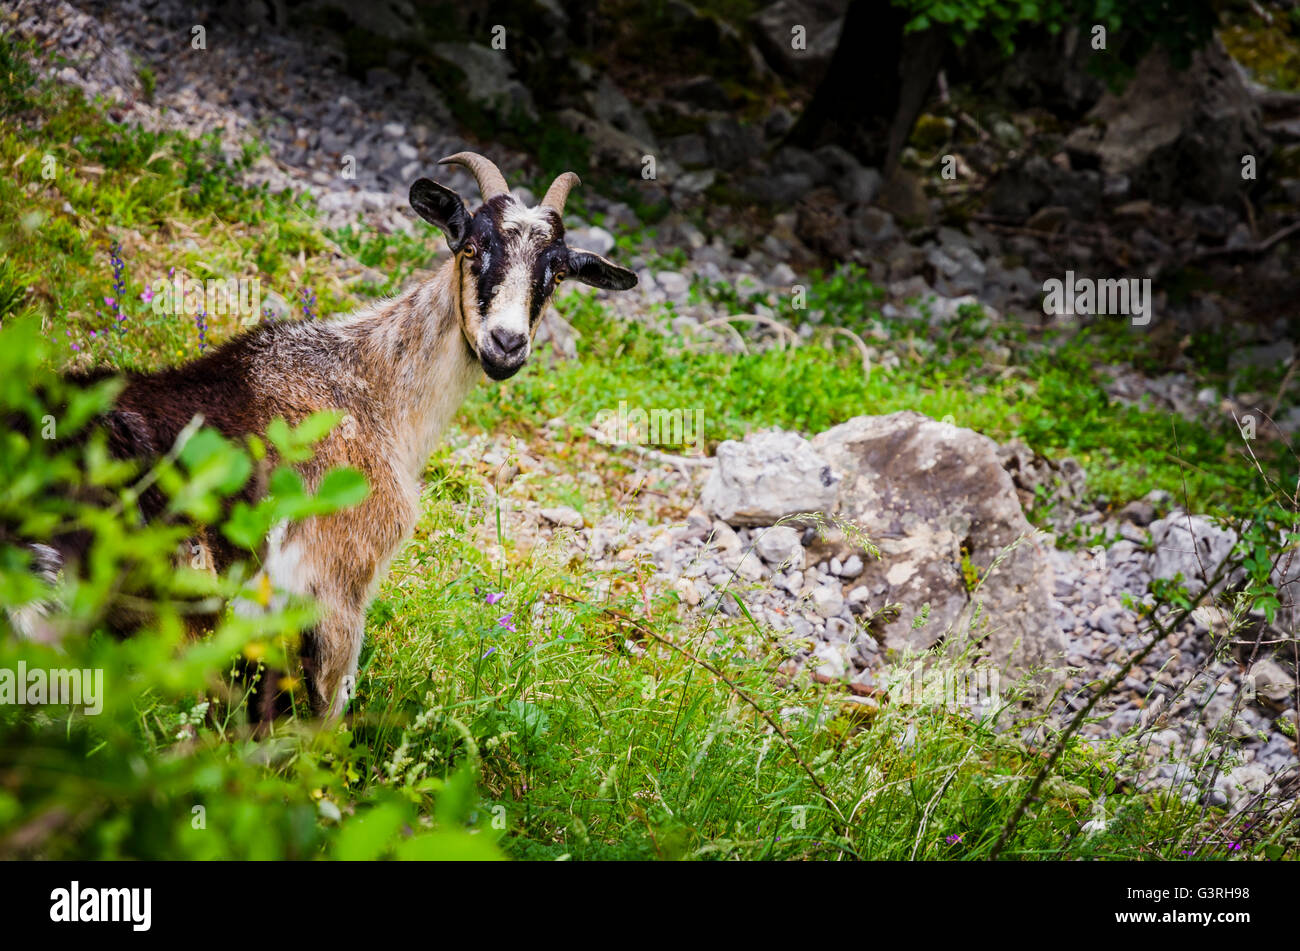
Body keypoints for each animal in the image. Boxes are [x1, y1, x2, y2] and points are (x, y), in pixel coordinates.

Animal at [11, 152, 639, 722]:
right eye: (471, 247)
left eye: (556, 274)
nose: (506, 344)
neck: (369, 390)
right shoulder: (340, 582)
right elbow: (325, 714)